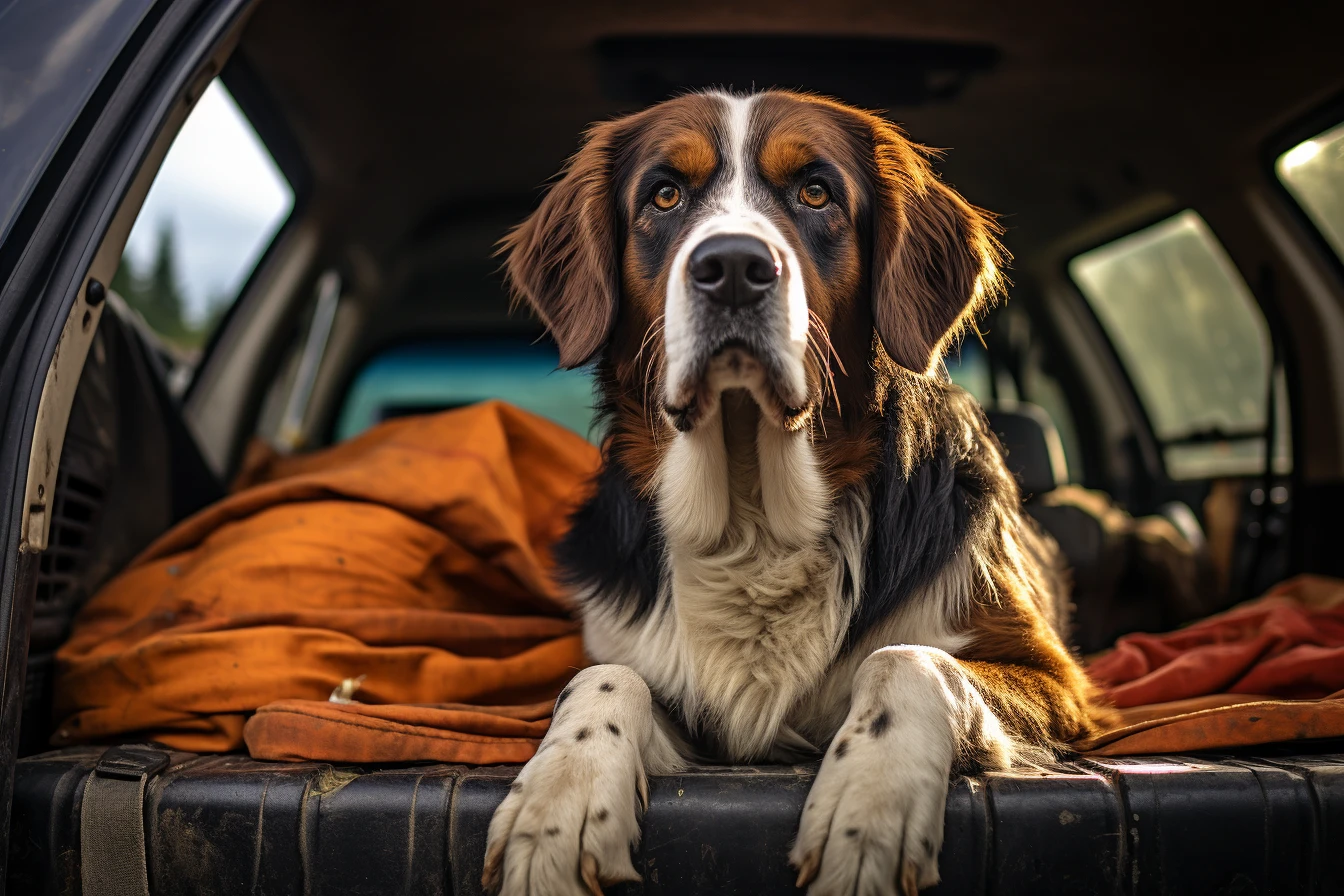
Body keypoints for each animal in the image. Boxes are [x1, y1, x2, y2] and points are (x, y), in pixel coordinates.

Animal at [483, 91, 1112, 896]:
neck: (753, 515)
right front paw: (559, 800)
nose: (732, 267)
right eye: (665, 195)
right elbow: (602, 677)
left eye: (816, 192)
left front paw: (868, 801)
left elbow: (907, 659)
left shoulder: (1056, 681)